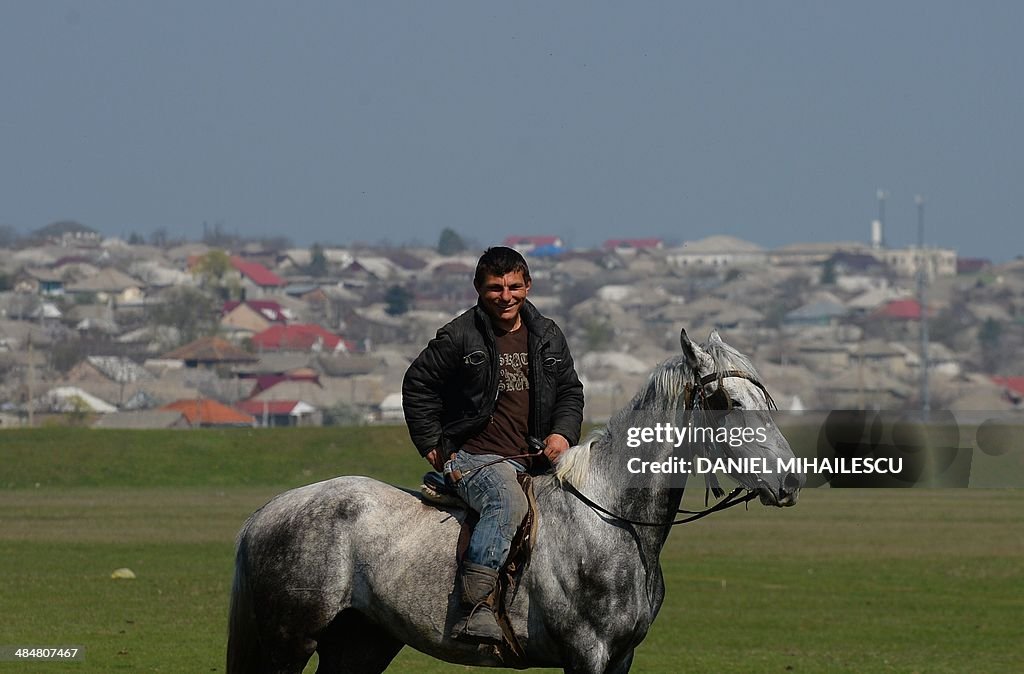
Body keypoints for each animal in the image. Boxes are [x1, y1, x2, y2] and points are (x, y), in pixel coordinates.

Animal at [228, 329, 802, 671]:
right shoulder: (587, 654)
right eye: (727, 401)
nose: (790, 481)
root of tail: (265, 514)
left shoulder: (620, 657)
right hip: (287, 645)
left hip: (360, 644)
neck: (612, 520)